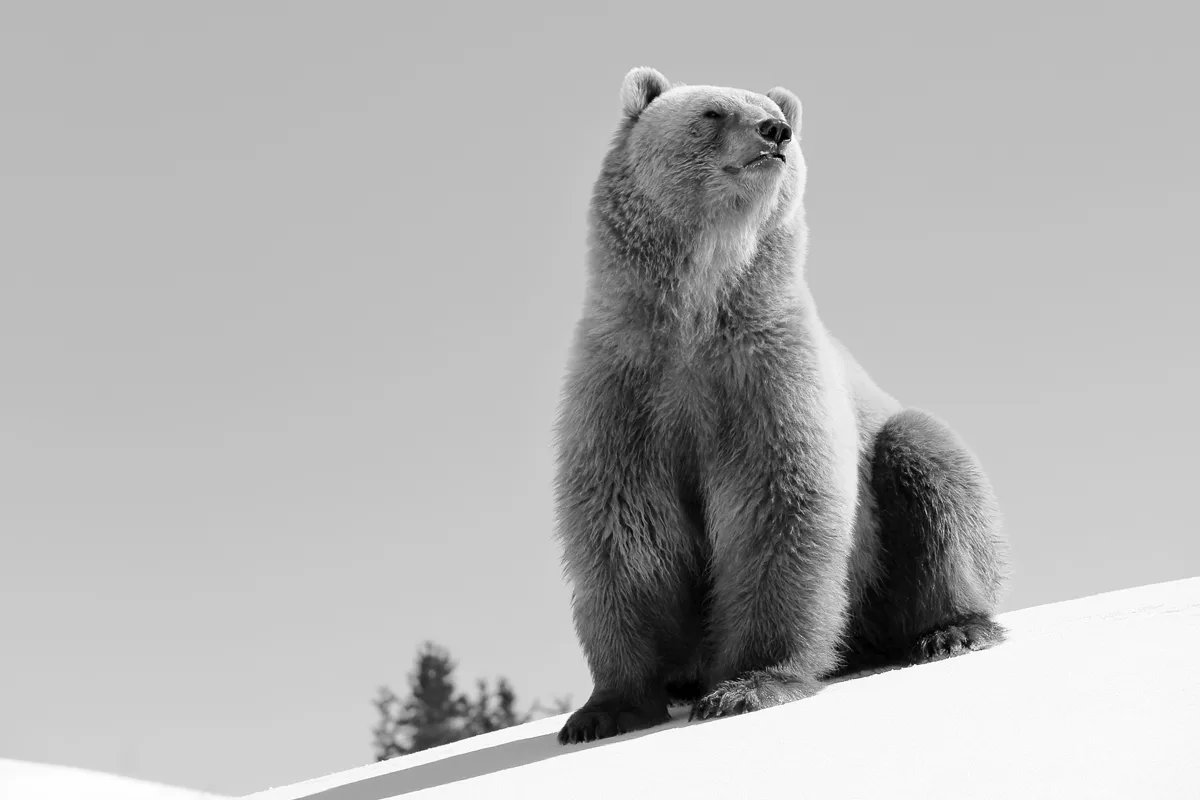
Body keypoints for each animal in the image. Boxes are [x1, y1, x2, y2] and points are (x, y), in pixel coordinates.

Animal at [553, 67, 1010, 745]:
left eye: (771, 110)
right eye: (713, 111)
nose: (776, 132)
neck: (698, 311)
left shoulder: (769, 376)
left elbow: (779, 505)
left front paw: (749, 685)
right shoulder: (625, 387)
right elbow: (624, 528)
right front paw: (606, 709)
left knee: (928, 466)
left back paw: (952, 628)